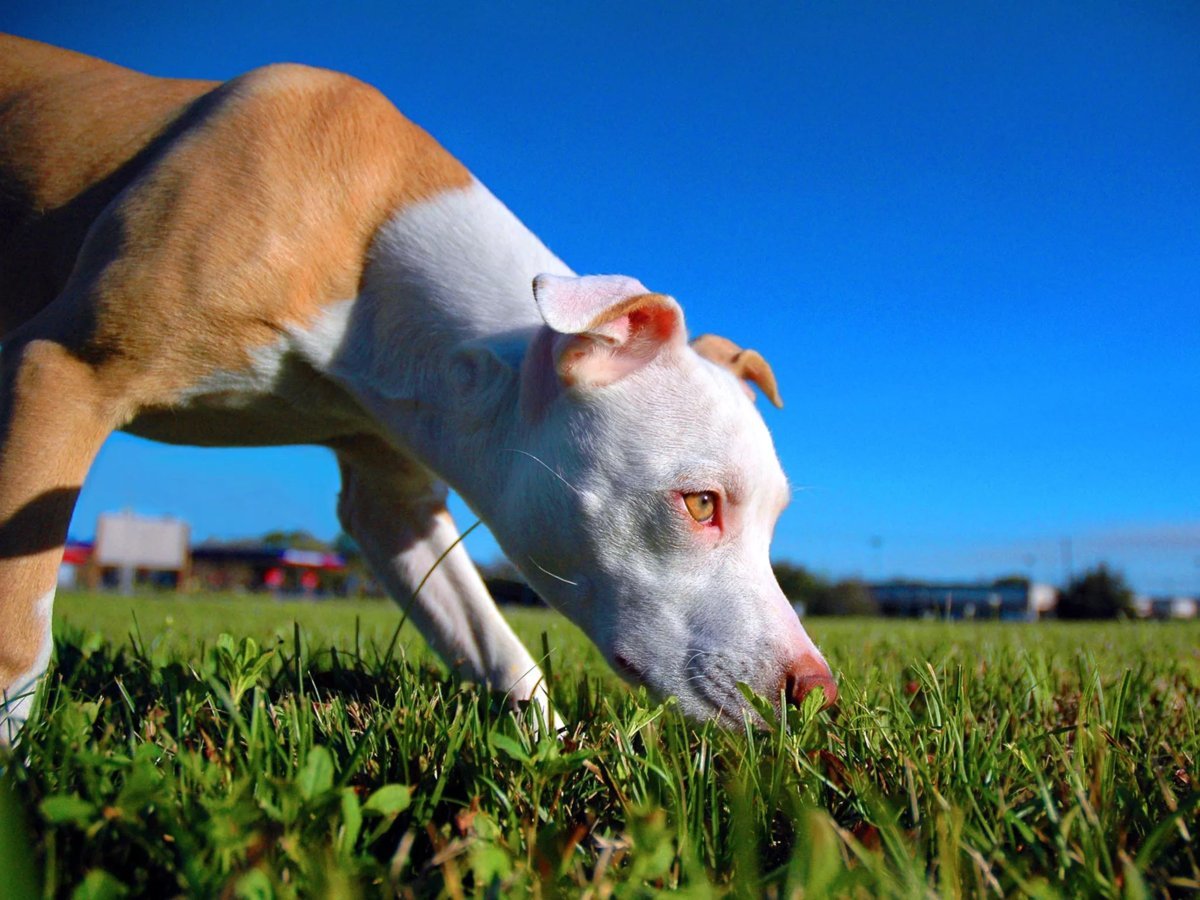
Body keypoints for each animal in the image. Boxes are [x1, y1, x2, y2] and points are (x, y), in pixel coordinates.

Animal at [0, 35, 840, 739]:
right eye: (700, 504)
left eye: (775, 521)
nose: (819, 694)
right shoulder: (61, 369)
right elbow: (19, 630)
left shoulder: (391, 498)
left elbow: (494, 644)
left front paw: (557, 753)